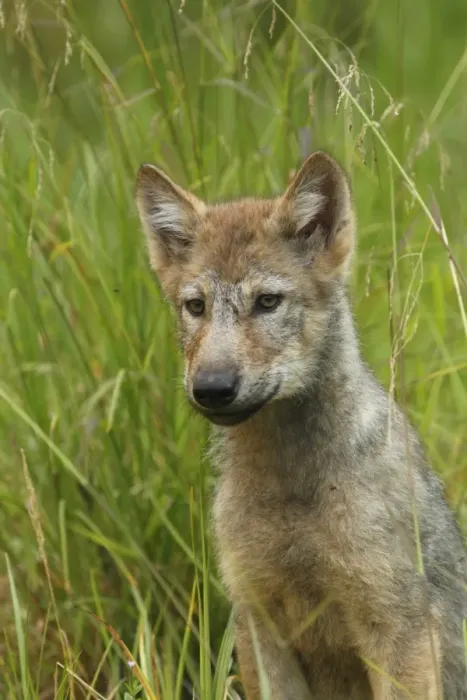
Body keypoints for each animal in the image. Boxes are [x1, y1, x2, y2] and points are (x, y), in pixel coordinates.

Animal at [135, 151, 467, 699]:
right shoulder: (258, 623)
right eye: (196, 307)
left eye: (268, 302)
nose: (212, 387)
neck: (291, 487)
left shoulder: (398, 630)